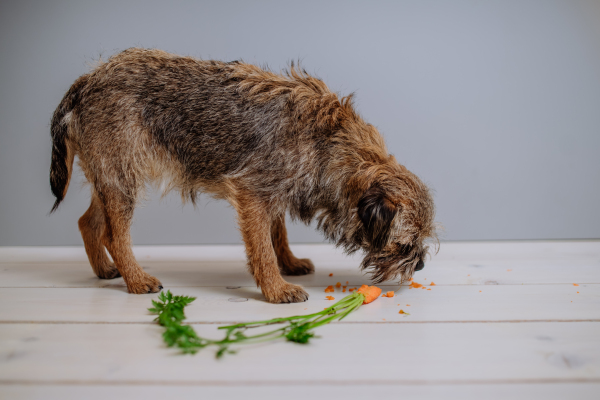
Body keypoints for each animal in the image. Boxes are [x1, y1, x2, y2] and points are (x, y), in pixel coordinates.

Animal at [49, 47, 438, 304]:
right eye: (404, 245)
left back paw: (105, 270)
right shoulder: (253, 194)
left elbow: (277, 233)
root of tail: (87, 80)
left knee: (89, 222)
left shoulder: (274, 193)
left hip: (109, 174)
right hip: (122, 175)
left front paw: (289, 263)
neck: (329, 143)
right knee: (115, 235)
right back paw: (136, 279)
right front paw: (276, 288)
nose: (419, 265)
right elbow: (262, 247)